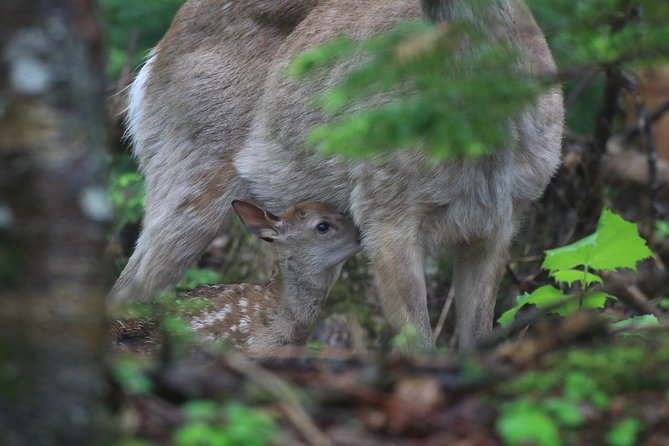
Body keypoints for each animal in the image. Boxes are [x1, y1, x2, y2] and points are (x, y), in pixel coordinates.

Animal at [111, 0, 564, 348]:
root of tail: (154, 56)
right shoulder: (385, 209)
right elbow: (418, 343)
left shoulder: (504, 219)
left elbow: (478, 337)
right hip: (189, 167)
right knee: (129, 287)